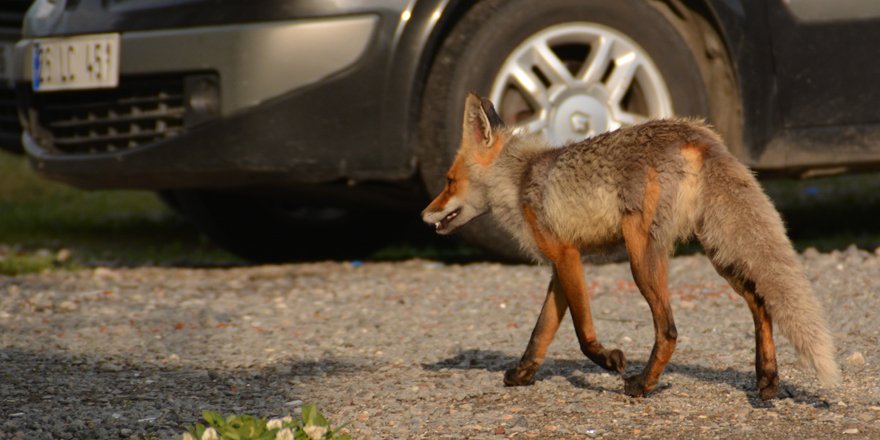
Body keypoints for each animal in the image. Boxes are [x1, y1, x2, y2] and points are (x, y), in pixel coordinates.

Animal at [422, 93, 844, 398]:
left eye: (448, 180)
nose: (424, 214)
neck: (522, 179)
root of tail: (696, 132)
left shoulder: (568, 257)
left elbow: (583, 336)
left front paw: (610, 360)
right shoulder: (560, 266)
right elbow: (541, 332)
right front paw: (523, 374)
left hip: (641, 258)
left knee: (670, 330)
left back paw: (643, 385)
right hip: (718, 254)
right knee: (760, 303)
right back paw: (767, 380)